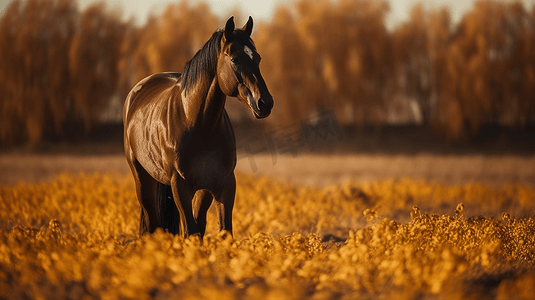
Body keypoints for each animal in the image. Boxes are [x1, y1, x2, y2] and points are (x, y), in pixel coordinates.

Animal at [124, 16, 274, 238]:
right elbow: (191, 231)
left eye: (258, 58)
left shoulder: (220, 185)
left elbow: (219, 231)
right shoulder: (180, 187)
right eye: (235, 59)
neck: (199, 126)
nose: (265, 103)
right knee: (152, 223)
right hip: (142, 178)